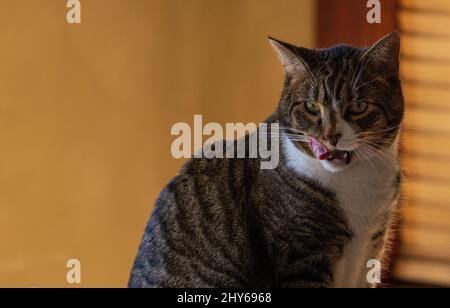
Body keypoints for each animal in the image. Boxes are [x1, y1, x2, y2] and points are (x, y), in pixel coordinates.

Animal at [128, 32, 402, 288]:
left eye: (358, 106)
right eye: (312, 107)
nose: (330, 136)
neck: (354, 179)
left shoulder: (371, 248)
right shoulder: (303, 258)